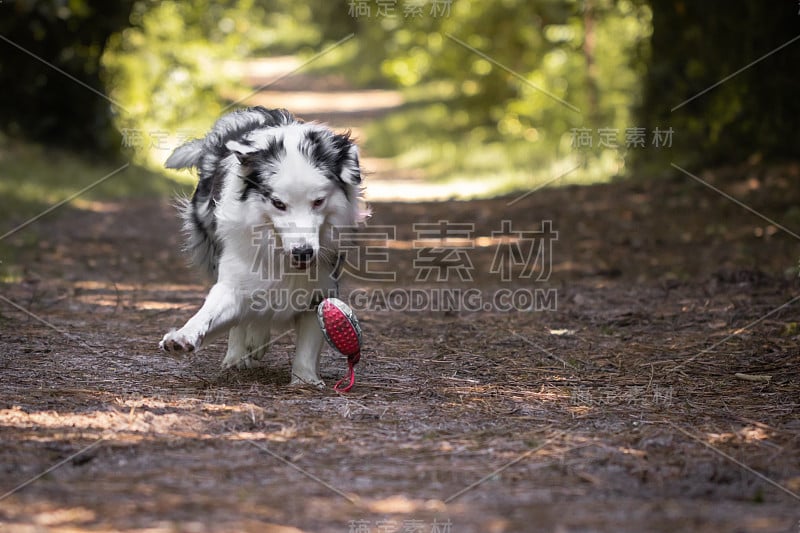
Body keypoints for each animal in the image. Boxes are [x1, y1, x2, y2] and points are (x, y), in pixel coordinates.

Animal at [161, 105, 368, 386]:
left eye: (318, 201)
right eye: (278, 203)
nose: (303, 253)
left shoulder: (322, 284)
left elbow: (309, 339)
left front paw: (305, 380)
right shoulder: (235, 273)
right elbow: (213, 310)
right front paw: (182, 337)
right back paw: (238, 355)